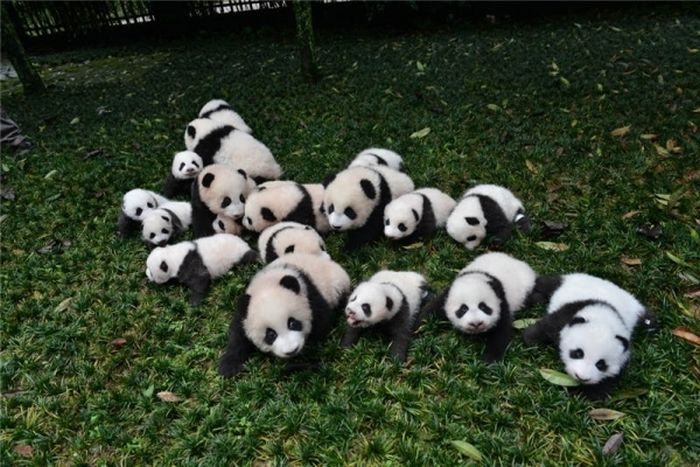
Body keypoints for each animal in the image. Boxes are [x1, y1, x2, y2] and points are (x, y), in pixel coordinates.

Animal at [217, 254, 350, 378]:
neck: (268, 283)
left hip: (337, 285)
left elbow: (323, 322)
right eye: (270, 334)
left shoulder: (309, 295)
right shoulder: (244, 314)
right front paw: (228, 367)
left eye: (292, 323)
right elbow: (237, 336)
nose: (291, 351)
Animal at [524, 274, 660, 402]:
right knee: (545, 284)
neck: (605, 319)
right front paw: (530, 340)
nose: (581, 377)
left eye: (601, 364)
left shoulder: (623, 356)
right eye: (578, 353)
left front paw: (582, 394)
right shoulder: (570, 313)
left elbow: (607, 380)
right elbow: (548, 326)